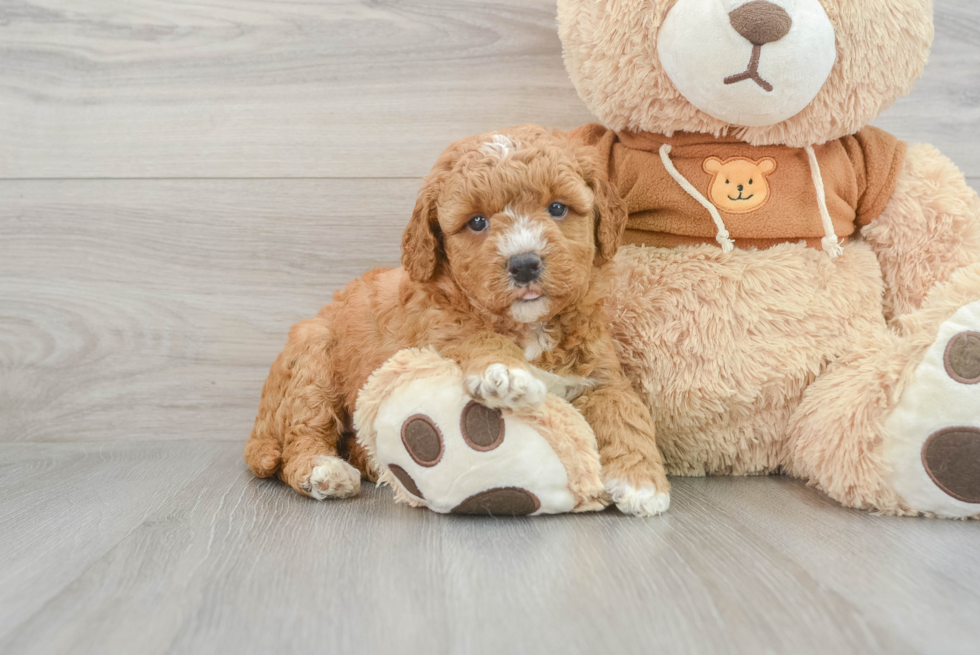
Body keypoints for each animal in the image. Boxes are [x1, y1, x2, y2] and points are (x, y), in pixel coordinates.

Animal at [245, 124, 672, 516]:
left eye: (557, 208)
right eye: (477, 222)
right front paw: (507, 373)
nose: (524, 264)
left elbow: (625, 408)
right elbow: (477, 338)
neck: (529, 327)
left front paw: (642, 482)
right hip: (311, 359)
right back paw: (324, 470)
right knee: (300, 436)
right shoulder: (440, 330)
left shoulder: (600, 371)